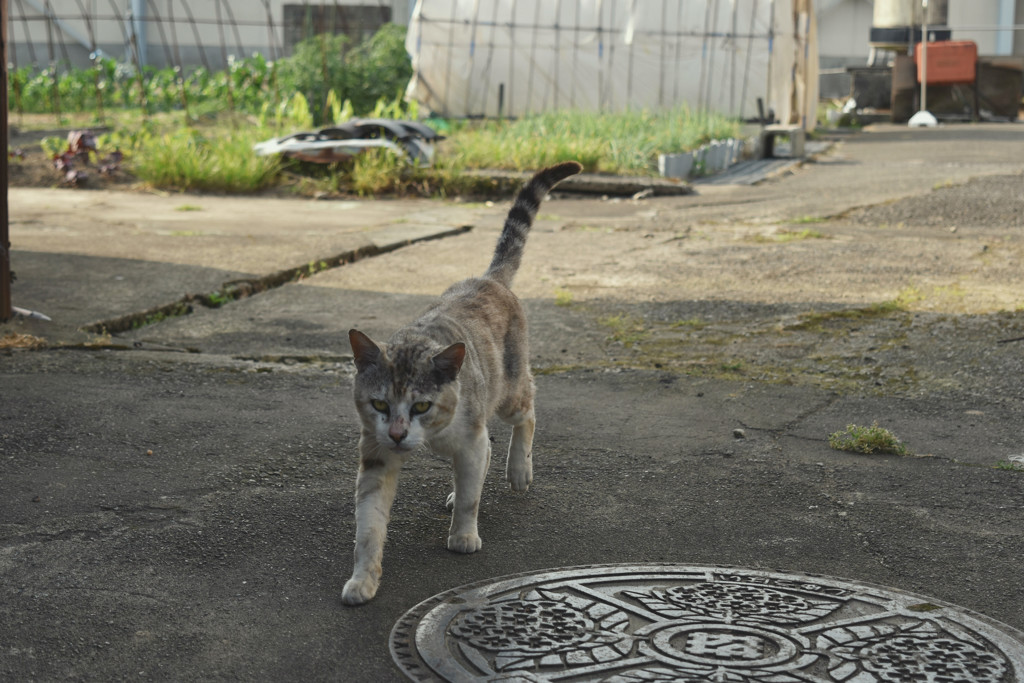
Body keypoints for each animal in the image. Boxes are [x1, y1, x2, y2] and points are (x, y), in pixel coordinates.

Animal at [344, 162, 585, 606]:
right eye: (380, 404)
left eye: (421, 405)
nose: (399, 434)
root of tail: (490, 279)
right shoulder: (375, 452)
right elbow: (369, 524)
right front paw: (363, 579)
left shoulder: (468, 432)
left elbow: (473, 493)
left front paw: (463, 535)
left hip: (507, 390)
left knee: (527, 411)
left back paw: (518, 469)